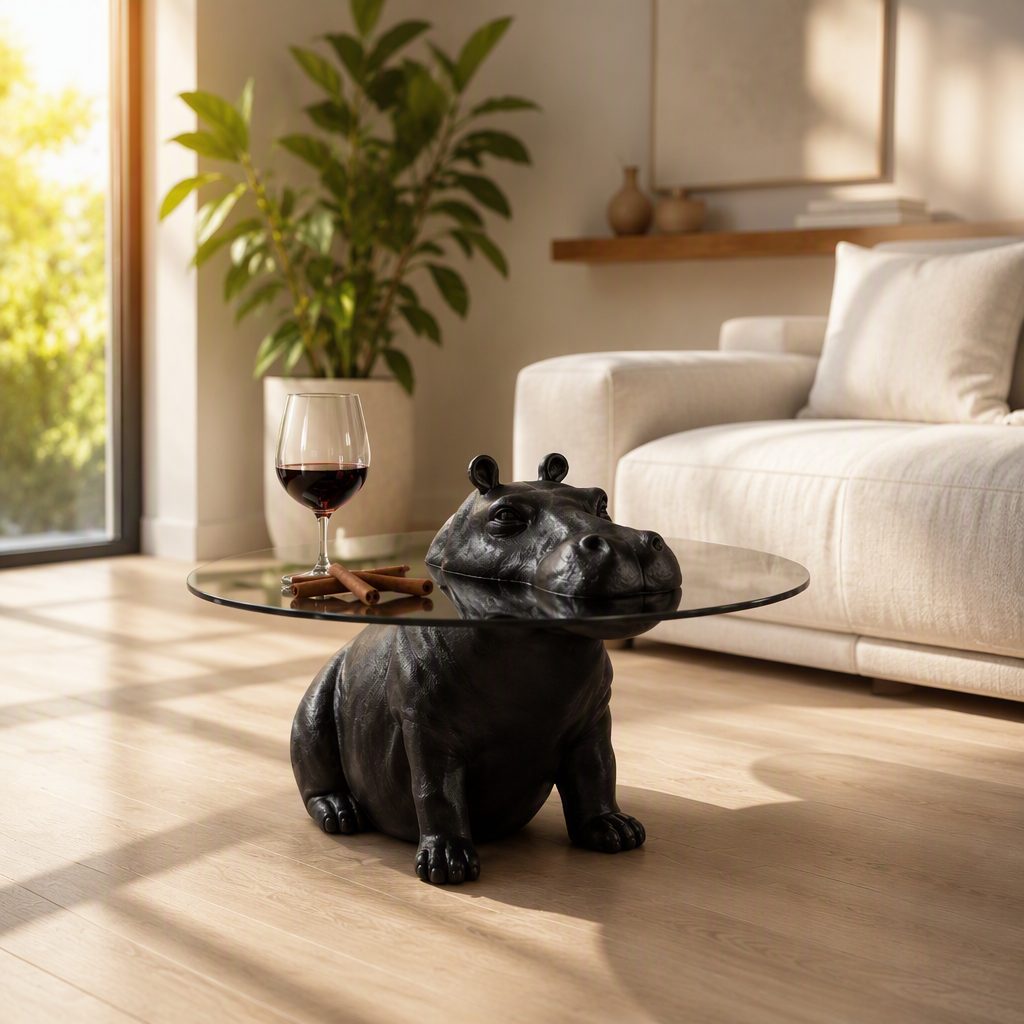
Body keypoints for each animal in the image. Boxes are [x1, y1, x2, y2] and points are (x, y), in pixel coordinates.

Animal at [290, 453, 683, 885]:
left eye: (600, 501)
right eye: (505, 515)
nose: (628, 544)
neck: (540, 652)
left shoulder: (593, 721)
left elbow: (596, 771)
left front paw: (614, 828)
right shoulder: (426, 729)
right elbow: (435, 790)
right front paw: (447, 863)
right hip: (312, 710)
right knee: (315, 774)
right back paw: (340, 813)